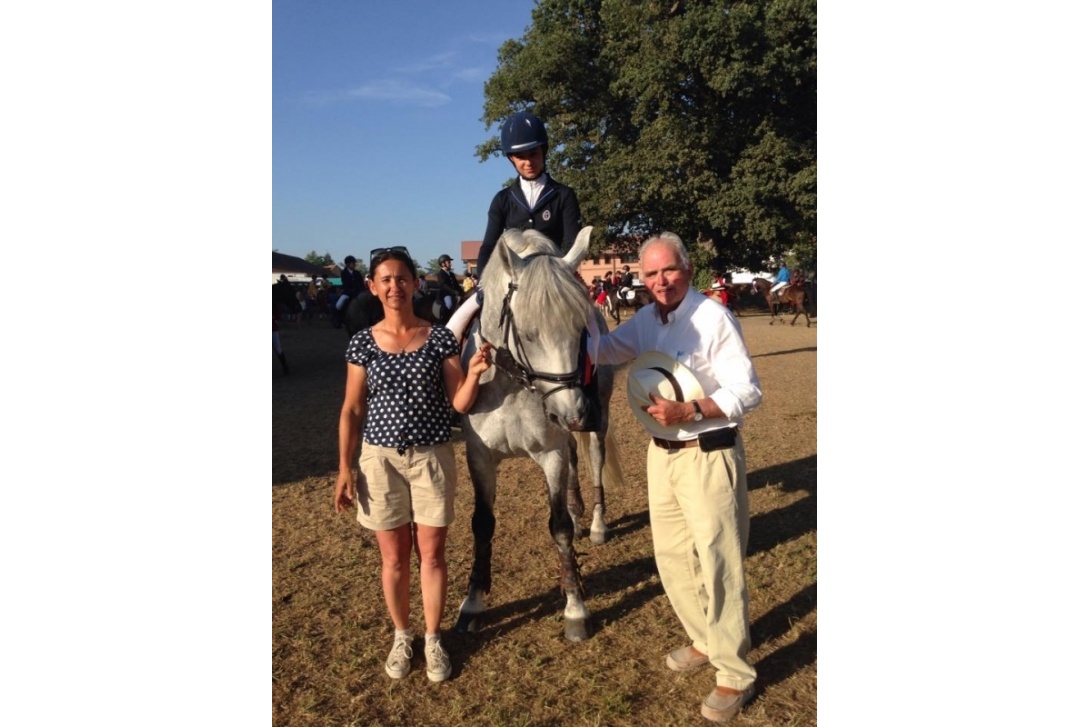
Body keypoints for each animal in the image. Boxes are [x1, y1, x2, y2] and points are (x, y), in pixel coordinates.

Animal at [451, 227, 623, 640]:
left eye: (580, 330)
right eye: (528, 334)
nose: (571, 412)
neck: (512, 383)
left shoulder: (551, 454)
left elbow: (558, 527)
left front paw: (575, 607)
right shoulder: (479, 457)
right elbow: (482, 523)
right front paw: (472, 603)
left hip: (598, 419)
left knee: (594, 460)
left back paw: (596, 523)